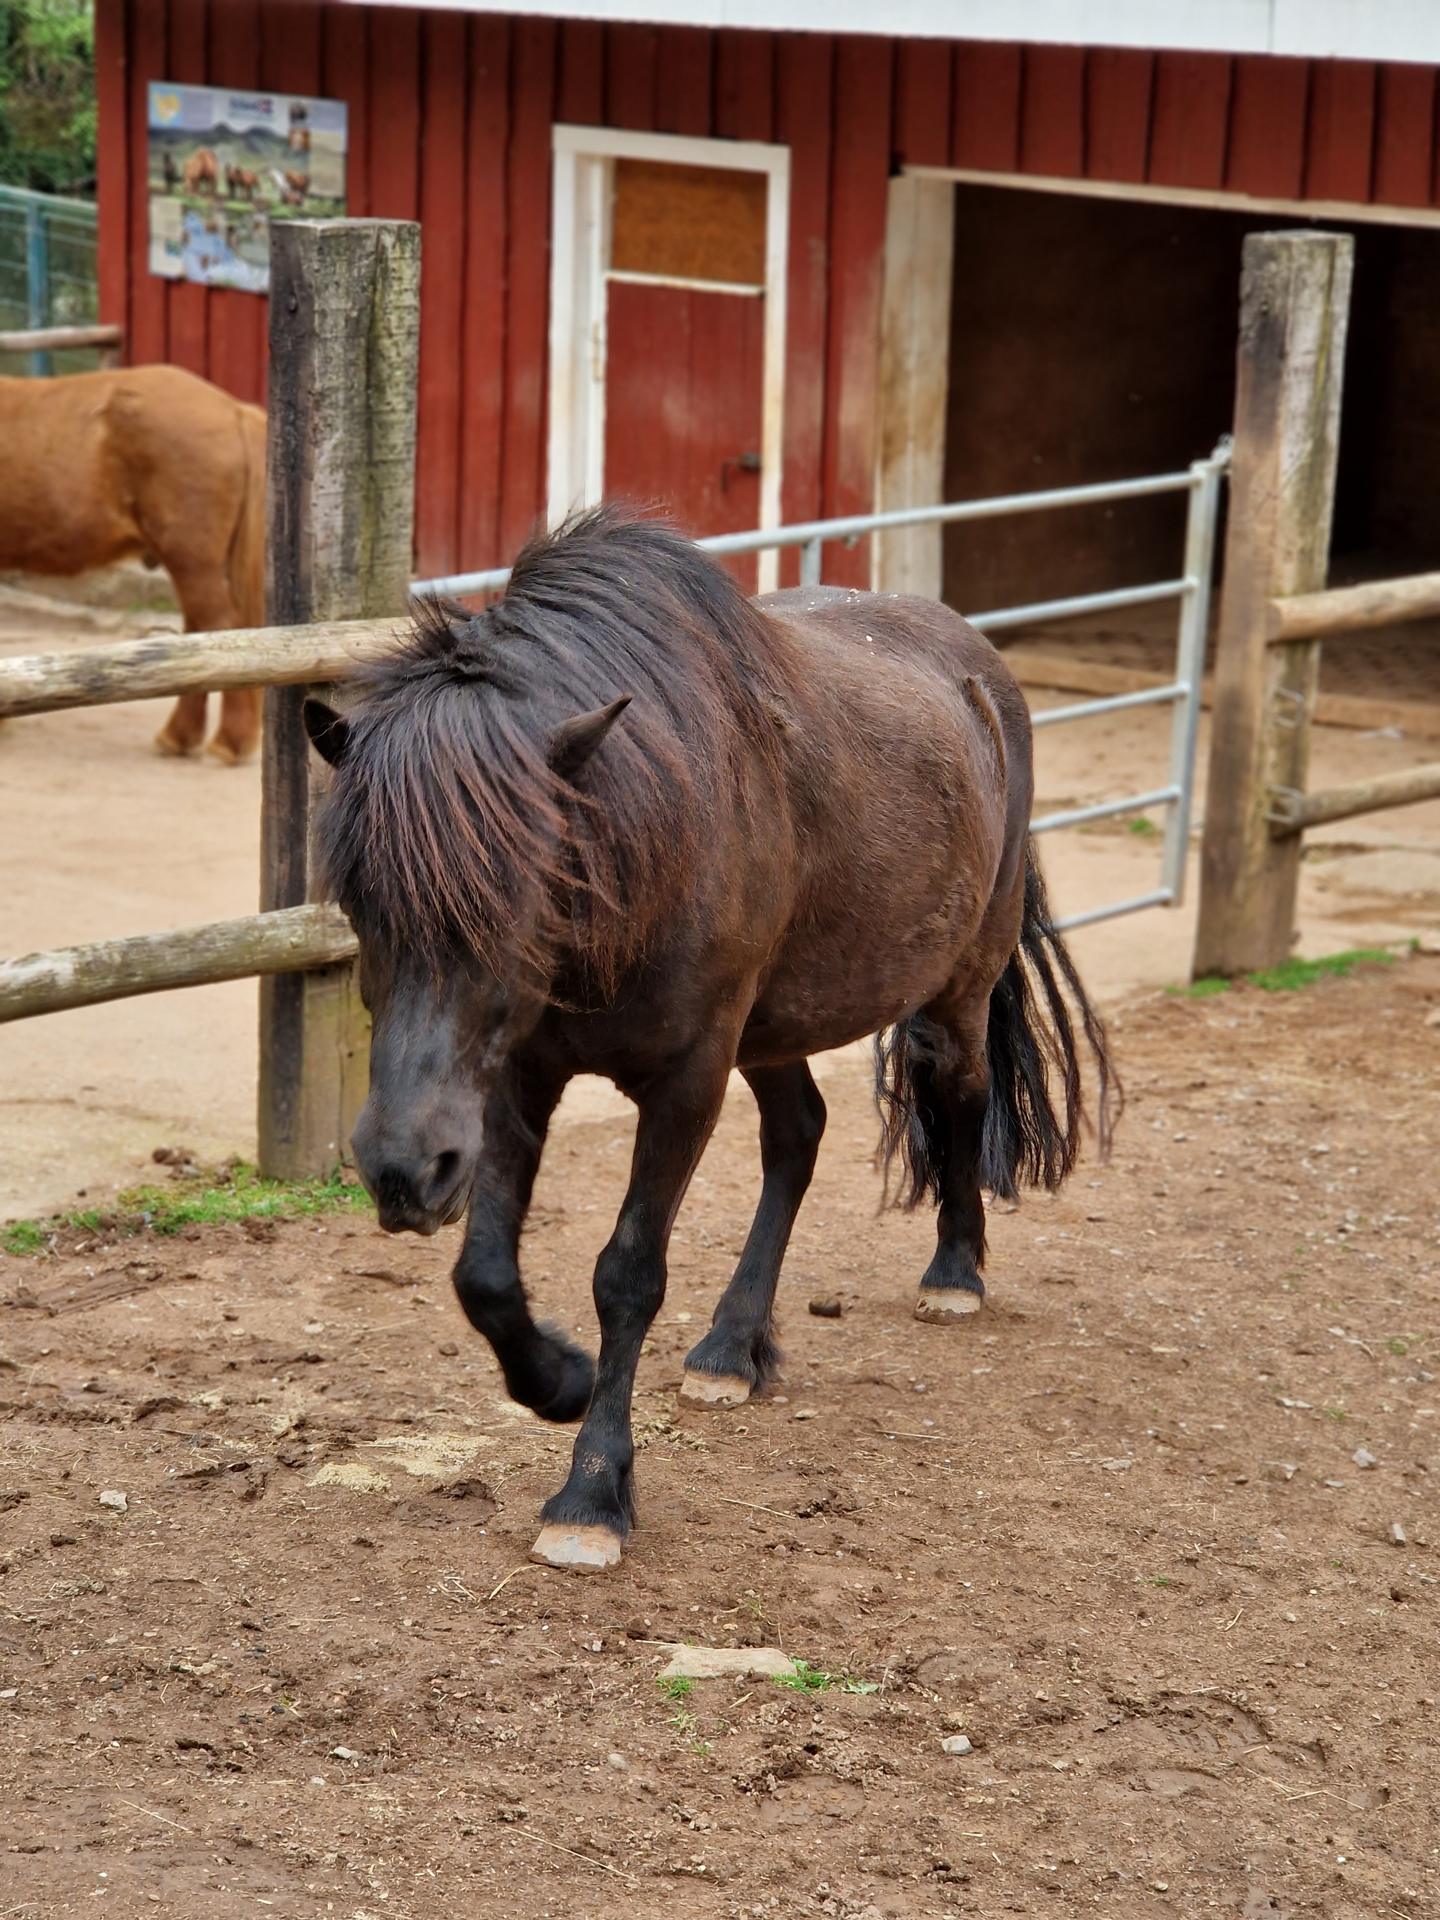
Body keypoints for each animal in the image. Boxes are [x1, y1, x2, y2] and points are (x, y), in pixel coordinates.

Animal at [303, 508, 1117, 1573]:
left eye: (516, 896)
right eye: (362, 902)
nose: (403, 1171)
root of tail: (980, 666)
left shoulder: (686, 1080)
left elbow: (627, 1275)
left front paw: (591, 1495)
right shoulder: (516, 1081)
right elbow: (484, 1275)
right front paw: (558, 1381)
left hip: (956, 987)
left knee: (959, 1094)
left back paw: (954, 1274)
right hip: (772, 1028)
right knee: (799, 1132)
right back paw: (735, 1345)